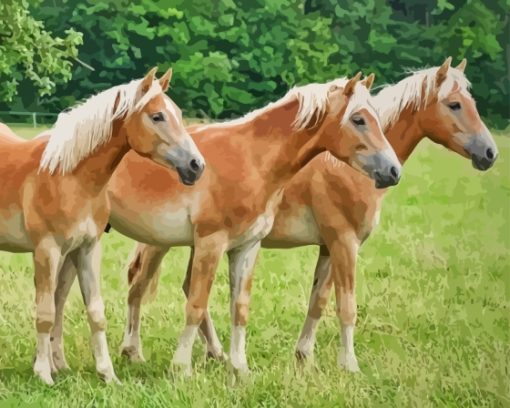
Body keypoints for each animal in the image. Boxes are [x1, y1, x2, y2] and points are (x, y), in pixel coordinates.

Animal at [0, 67, 205, 386]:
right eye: (157, 116)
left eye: (179, 113)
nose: (196, 165)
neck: (68, 177)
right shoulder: (46, 250)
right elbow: (45, 312)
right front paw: (43, 373)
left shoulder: (87, 248)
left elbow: (96, 312)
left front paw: (108, 374)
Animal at [49, 71, 404, 374]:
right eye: (358, 119)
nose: (393, 171)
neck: (253, 159)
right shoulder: (211, 242)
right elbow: (196, 302)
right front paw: (182, 367)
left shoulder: (247, 247)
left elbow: (240, 307)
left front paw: (239, 368)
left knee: (63, 291)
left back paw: (64, 361)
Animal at [115, 57, 498, 372]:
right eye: (454, 104)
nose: (490, 153)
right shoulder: (344, 242)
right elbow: (346, 305)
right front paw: (349, 366)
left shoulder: (328, 247)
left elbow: (318, 301)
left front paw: (304, 357)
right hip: (160, 241)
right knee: (140, 284)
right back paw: (136, 351)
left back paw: (215, 353)